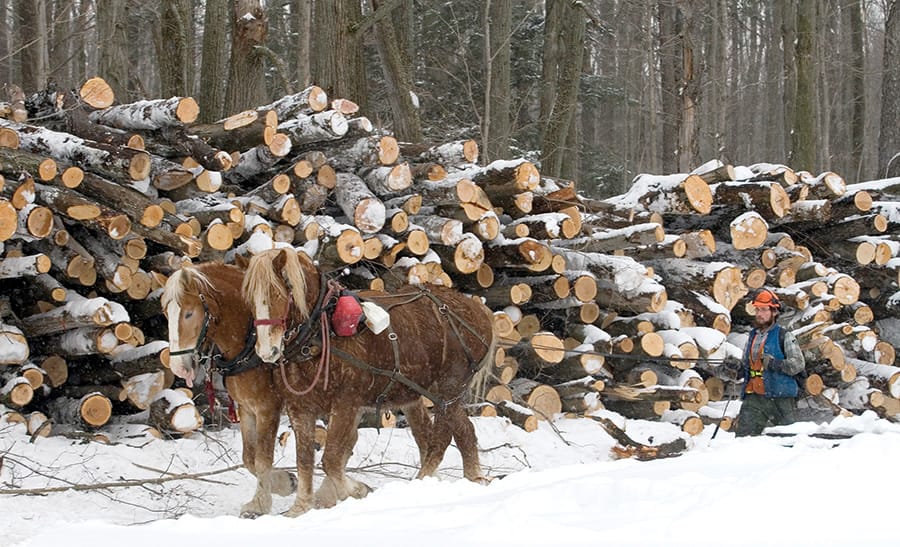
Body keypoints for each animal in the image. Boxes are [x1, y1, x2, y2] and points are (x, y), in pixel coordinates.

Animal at [161, 262, 293, 518]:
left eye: (188, 313)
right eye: (166, 314)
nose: (178, 367)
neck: (248, 344)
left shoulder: (268, 409)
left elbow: (262, 459)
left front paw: (260, 504)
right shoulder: (247, 408)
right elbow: (249, 458)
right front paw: (285, 482)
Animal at [242, 247, 497, 516]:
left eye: (278, 293)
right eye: (250, 299)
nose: (266, 351)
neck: (321, 334)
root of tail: (478, 310)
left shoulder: (346, 404)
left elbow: (332, 459)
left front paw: (357, 490)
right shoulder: (300, 408)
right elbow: (304, 460)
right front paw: (300, 508)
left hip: (449, 390)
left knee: (440, 441)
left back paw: (420, 483)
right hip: (435, 394)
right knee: (462, 432)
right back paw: (474, 478)